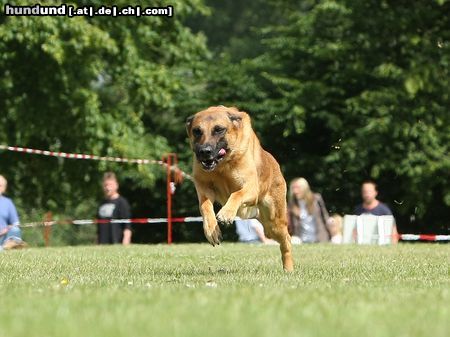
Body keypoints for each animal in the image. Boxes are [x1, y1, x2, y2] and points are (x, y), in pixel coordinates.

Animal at [185, 105, 294, 270]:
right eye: (197, 131)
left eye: (219, 129)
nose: (204, 151)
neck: (222, 166)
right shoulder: (204, 188)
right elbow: (205, 207)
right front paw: (211, 230)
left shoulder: (251, 188)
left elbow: (236, 194)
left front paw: (226, 214)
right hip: (268, 226)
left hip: (274, 222)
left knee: (286, 239)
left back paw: (288, 269)